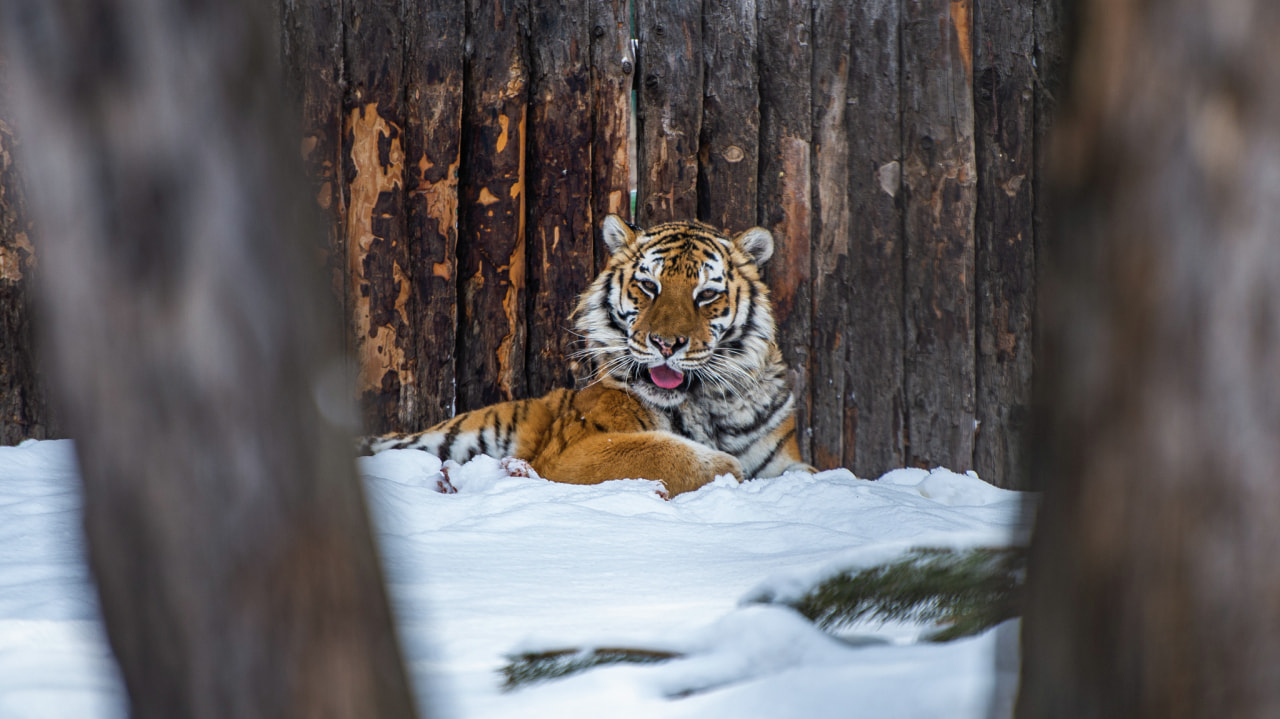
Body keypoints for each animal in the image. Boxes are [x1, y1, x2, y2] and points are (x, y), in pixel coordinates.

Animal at [366, 212, 814, 491]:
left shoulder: (784, 461)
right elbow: (668, 453)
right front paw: (726, 469)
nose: (665, 344)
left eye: (706, 295)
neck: (709, 406)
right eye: (649, 286)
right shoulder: (576, 450)